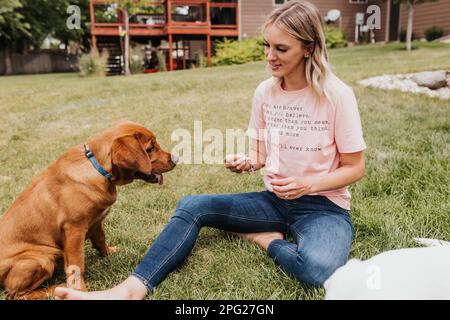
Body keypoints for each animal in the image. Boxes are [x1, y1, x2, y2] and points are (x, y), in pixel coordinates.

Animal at [0, 121, 178, 298]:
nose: (176, 159)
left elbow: (100, 239)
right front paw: (80, 290)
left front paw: (108, 252)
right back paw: (57, 288)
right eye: (150, 148)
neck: (97, 168)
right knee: (17, 294)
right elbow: (77, 265)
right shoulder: (74, 230)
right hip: (41, 258)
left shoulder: (97, 220)